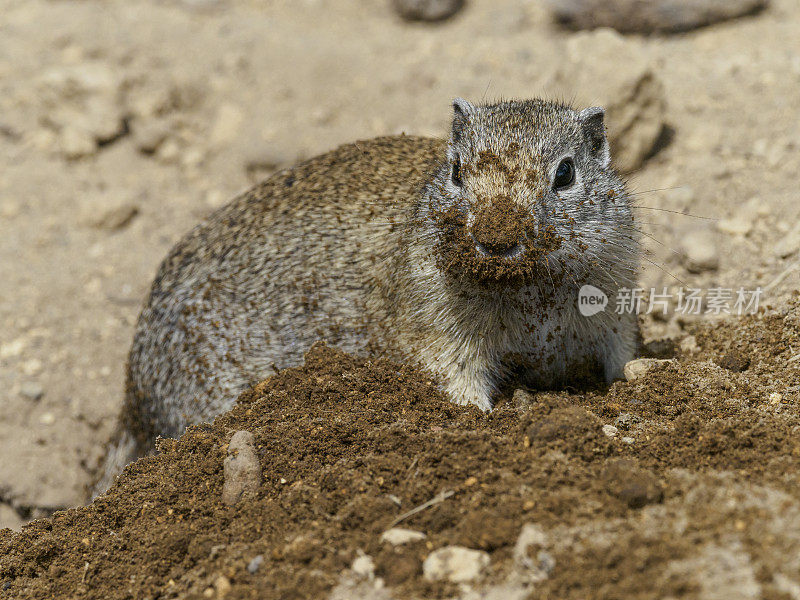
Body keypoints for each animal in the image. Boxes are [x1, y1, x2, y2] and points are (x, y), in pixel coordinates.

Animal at [95, 98, 644, 490]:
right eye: (457, 170)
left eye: (565, 172)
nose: (495, 239)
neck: (529, 289)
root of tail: (132, 399)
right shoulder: (439, 337)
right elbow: (460, 386)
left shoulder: (614, 310)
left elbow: (623, 360)